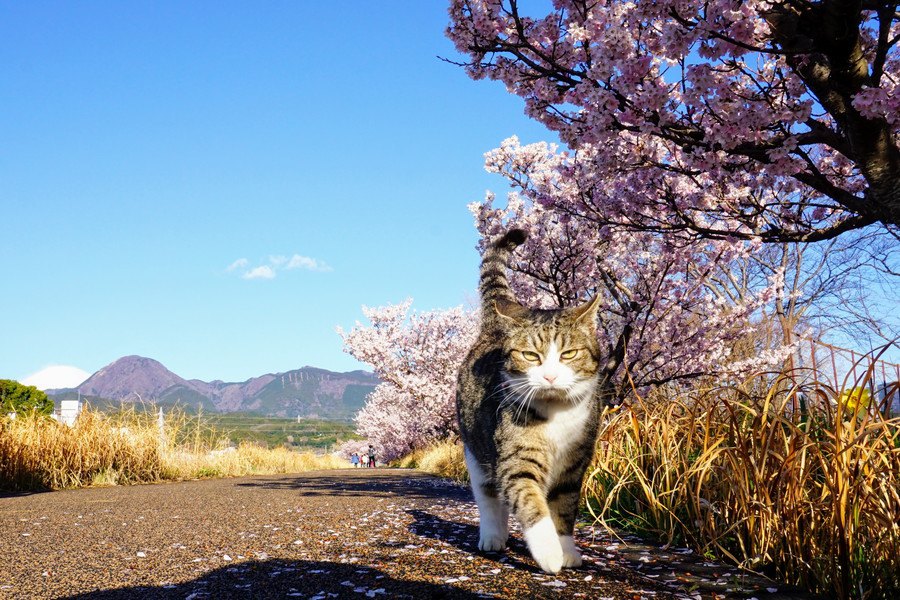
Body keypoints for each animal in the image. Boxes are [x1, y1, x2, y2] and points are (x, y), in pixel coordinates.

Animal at [458, 227, 604, 576]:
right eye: (530, 355)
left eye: (569, 354)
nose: (549, 376)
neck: (557, 415)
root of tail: (494, 328)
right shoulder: (516, 458)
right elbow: (530, 501)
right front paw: (549, 552)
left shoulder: (575, 464)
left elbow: (564, 509)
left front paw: (566, 549)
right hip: (476, 449)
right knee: (488, 494)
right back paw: (493, 536)